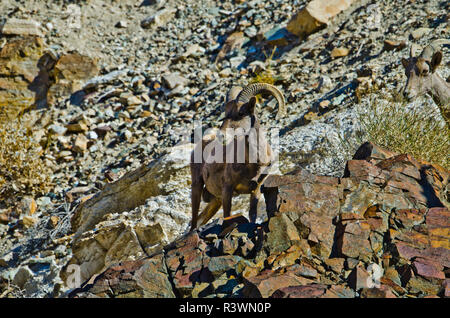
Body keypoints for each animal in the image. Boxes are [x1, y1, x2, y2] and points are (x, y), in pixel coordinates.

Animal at [190, 83, 284, 230]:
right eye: (225, 114)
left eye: (241, 113)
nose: (221, 136)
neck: (255, 163)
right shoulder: (227, 189)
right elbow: (227, 216)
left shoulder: (256, 190)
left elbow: (252, 214)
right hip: (196, 186)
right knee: (194, 221)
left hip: (216, 201)